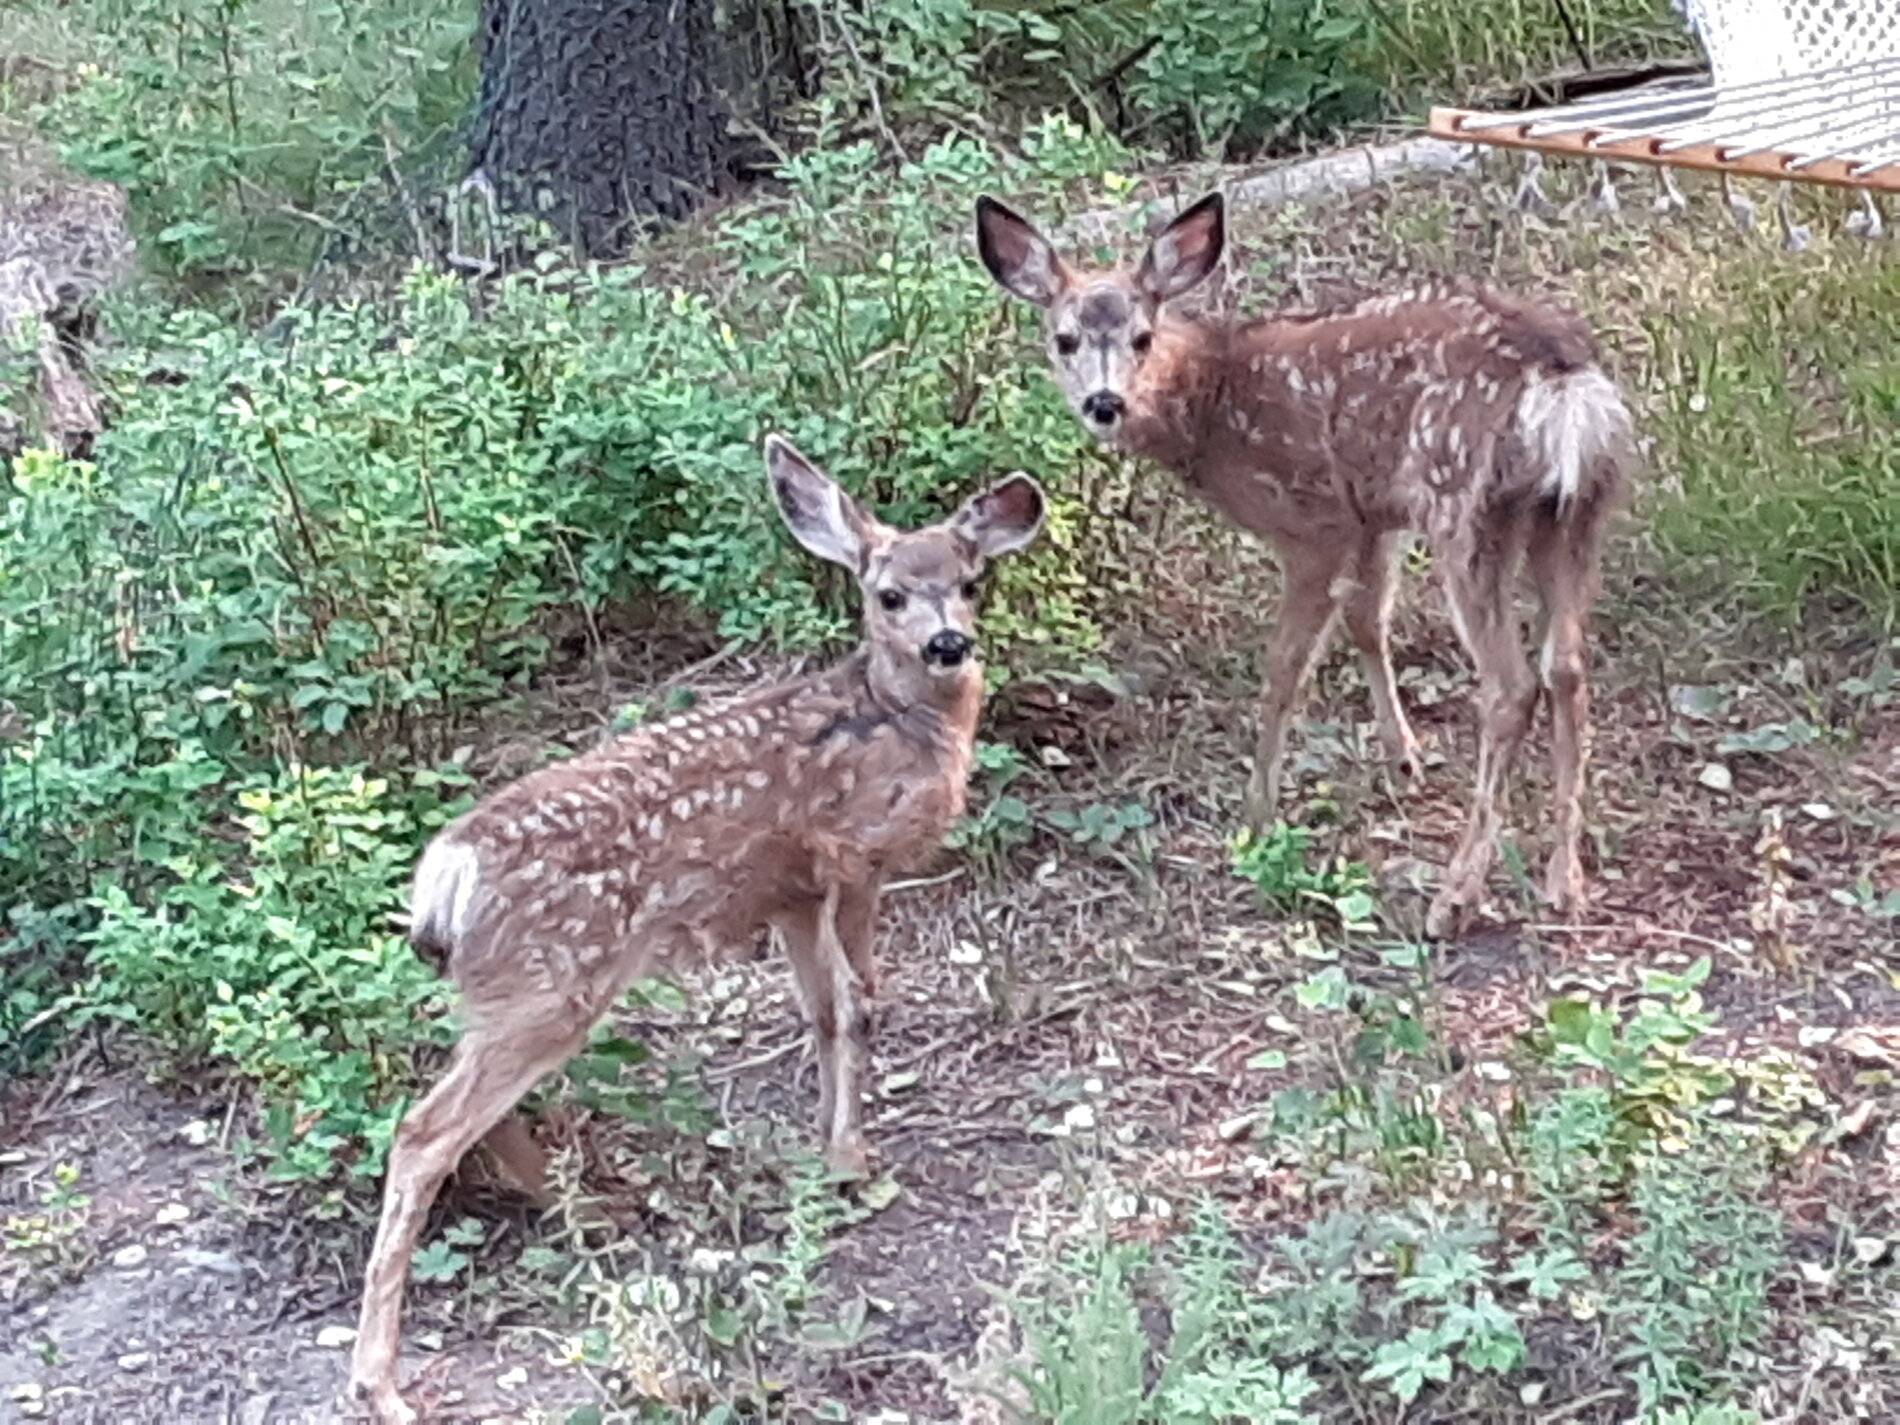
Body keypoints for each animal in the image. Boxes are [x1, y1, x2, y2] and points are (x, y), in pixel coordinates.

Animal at [347, 435, 1046, 1424]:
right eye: (888, 594)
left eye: (973, 580)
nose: (950, 642)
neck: (898, 720)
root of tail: (447, 870)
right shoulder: (853, 856)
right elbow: (861, 1004)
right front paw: (853, 1156)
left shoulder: (790, 889)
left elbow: (819, 1013)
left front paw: (823, 1153)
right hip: (551, 980)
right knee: (421, 1133)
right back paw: (379, 1379)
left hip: (508, 995)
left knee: (457, 1109)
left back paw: (588, 1211)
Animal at [975, 190, 1634, 938]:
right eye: (1064, 340)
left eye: (1142, 336)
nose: (1104, 403)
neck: (1212, 405)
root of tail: (1563, 388)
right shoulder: (1373, 517)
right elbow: (1368, 623)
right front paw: (1402, 756)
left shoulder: (1314, 524)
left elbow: (1285, 667)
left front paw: (1257, 812)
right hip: (1574, 511)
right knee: (1566, 666)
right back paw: (1563, 881)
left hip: (1462, 506)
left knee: (1512, 686)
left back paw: (1454, 898)